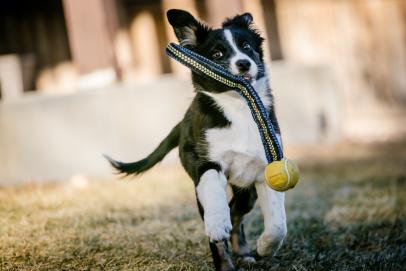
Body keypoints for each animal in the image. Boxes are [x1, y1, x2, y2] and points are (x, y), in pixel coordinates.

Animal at [106, 9, 288, 271]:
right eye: (217, 54)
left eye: (246, 46)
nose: (244, 63)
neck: (239, 107)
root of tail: (182, 123)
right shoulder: (204, 162)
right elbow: (213, 193)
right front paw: (217, 223)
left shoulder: (267, 165)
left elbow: (278, 223)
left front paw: (266, 246)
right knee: (226, 212)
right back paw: (226, 261)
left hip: (246, 191)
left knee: (236, 211)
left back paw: (243, 251)